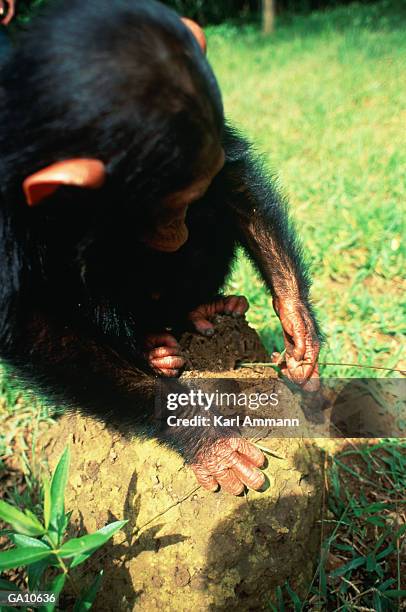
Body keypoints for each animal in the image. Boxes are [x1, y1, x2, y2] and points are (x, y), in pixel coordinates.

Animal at [0, 0, 324, 494]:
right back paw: (155, 348)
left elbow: (230, 174)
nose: (176, 228)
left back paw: (204, 312)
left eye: (179, 199)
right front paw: (202, 434)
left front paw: (297, 325)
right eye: (158, 205)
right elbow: (34, 327)